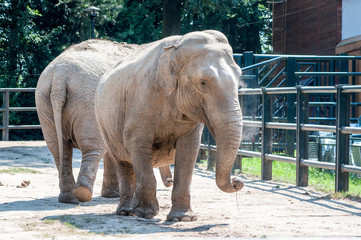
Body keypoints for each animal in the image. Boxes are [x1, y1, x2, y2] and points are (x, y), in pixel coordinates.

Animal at [94, 30, 243, 221]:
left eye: (239, 78)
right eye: (203, 82)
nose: (237, 181)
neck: (176, 47)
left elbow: (188, 151)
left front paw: (183, 218)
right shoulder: (141, 101)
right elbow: (137, 143)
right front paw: (146, 213)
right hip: (104, 124)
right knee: (122, 162)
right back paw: (127, 212)